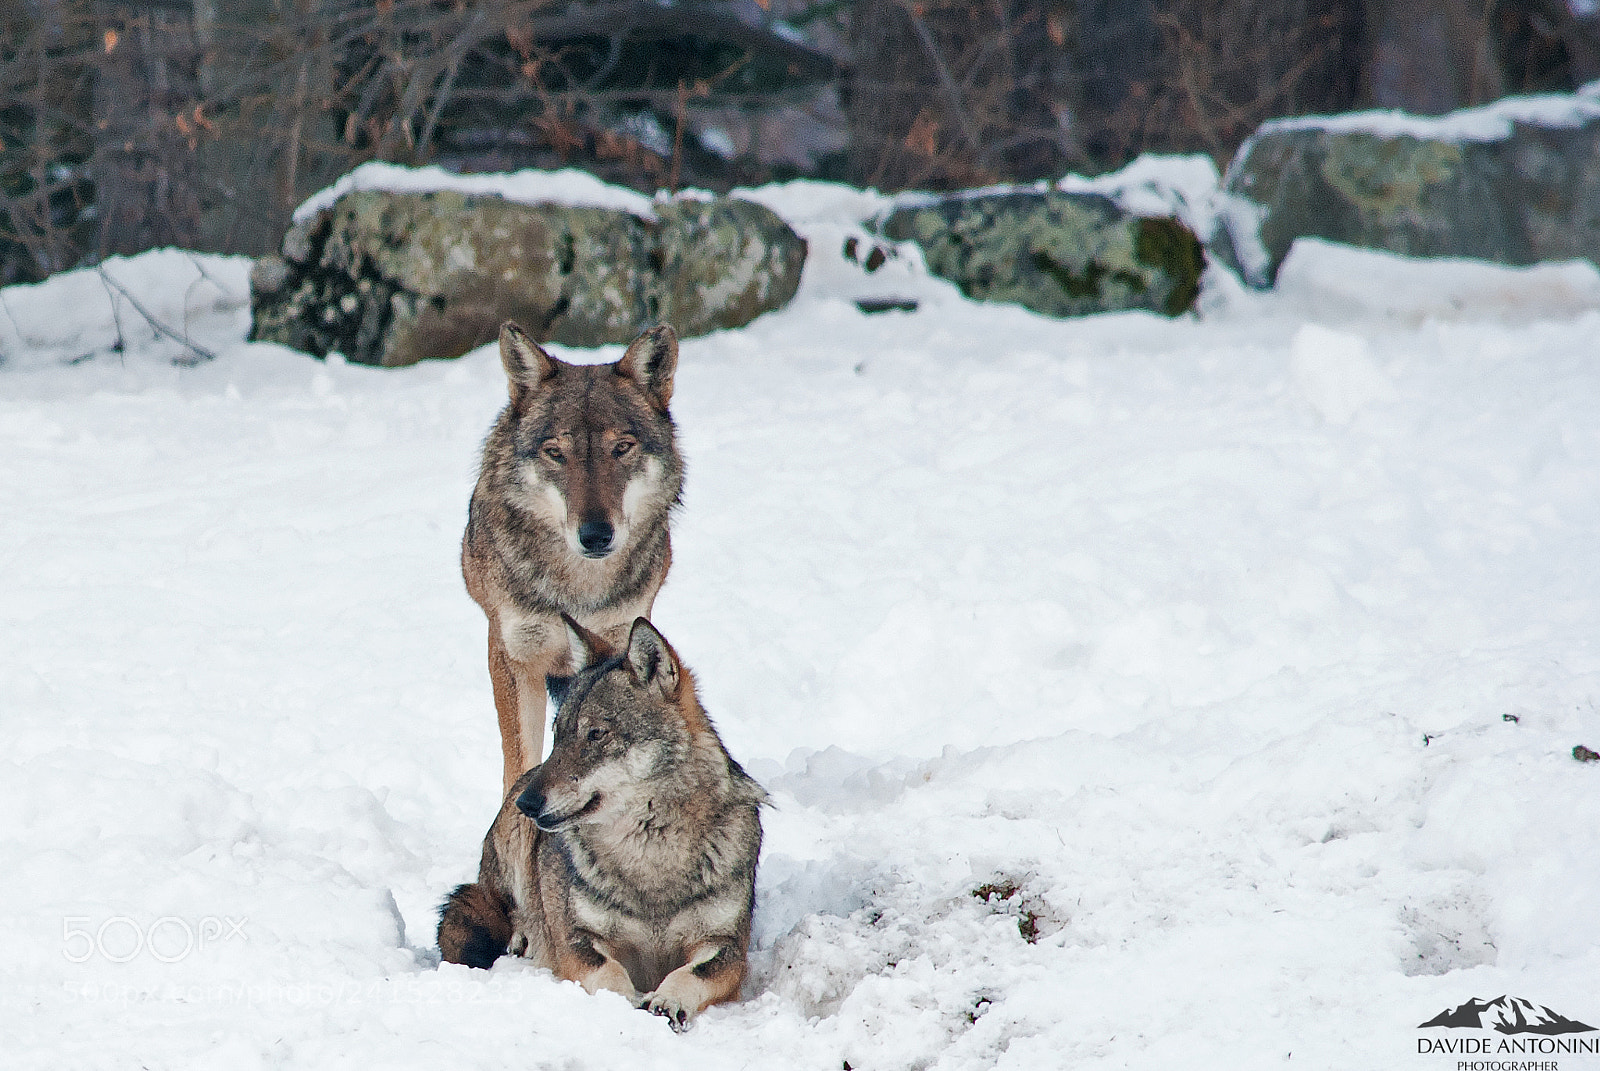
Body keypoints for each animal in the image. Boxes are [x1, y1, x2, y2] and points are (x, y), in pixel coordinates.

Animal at [437, 616, 766, 1032]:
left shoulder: (727, 949)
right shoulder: (578, 941)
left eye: (596, 734)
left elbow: (690, 974)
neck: (649, 853)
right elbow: (608, 973)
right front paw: (627, 1003)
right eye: (557, 735)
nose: (527, 802)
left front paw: (667, 1001)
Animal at [463, 321, 684, 793]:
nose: (596, 535)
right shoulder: (513, 656)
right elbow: (521, 765)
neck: (578, 588)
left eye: (622, 448)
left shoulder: (621, 640)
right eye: (555, 453)